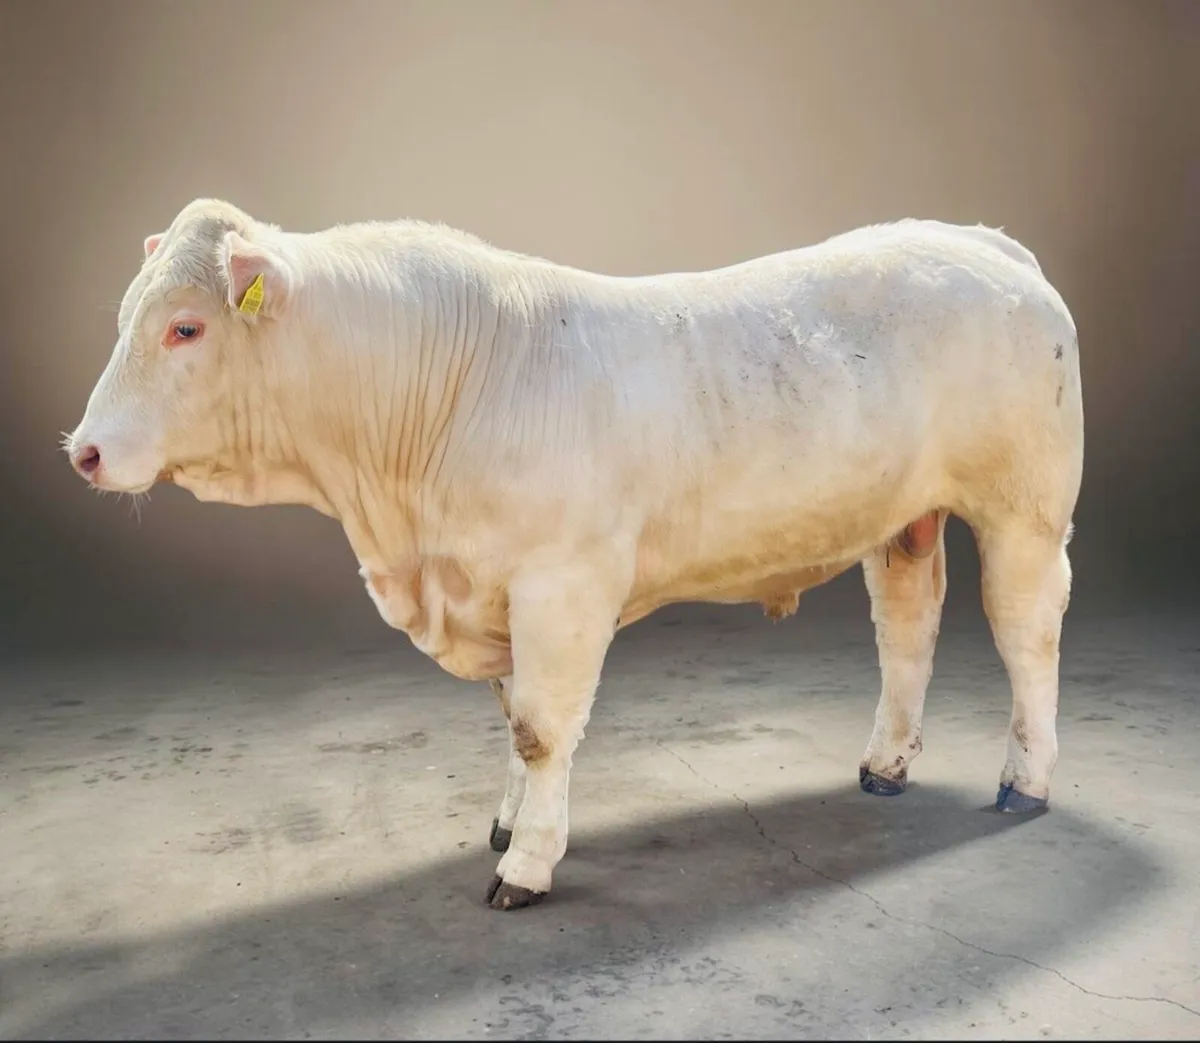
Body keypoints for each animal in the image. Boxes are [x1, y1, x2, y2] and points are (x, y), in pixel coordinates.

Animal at [66, 199, 1084, 910]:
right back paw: (886, 762)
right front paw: (509, 820)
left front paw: (527, 862)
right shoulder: (492, 586)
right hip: (904, 514)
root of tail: (984, 239)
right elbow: (511, 715)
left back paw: (1024, 781)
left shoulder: (561, 583)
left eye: (186, 326)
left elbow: (541, 728)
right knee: (908, 618)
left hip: (1026, 505)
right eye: (121, 318)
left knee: (1025, 629)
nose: (83, 451)